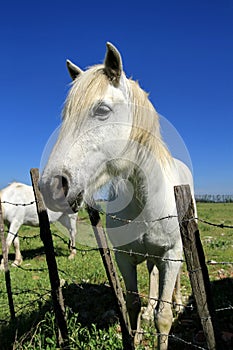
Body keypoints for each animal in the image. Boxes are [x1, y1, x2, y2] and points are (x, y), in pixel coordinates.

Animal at [39, 42, 196, 348]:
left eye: (102, 110)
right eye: (65, 117)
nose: (52, 186)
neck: (144, 200)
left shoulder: (171, 255)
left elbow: (164, 317)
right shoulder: (124, 257)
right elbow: (132, 304)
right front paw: (135, 335)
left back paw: (177, 300)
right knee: (152, 276)